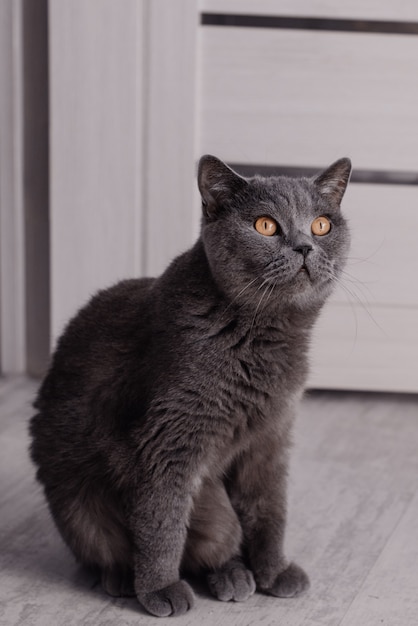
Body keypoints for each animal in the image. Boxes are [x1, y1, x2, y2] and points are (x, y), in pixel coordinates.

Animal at [29, 155, 352, 616]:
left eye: (321, 225)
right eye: (266, 226)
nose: (305, 246)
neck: (265, 340)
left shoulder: (271, 437)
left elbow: (270, 508)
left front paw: (273, 571)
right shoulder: (167, 442)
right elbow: (162, 519)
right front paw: (161, 588)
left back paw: (234, 574)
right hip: (80, 505)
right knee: (117, 545)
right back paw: (129, 578)